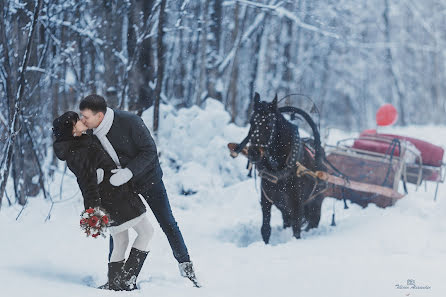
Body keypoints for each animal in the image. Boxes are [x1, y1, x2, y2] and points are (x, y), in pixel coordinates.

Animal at [237, 92, 328, 243]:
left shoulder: (296, 204)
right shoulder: (267, 200)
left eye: (269, 123)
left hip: (316, 201)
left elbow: (296, 229)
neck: (279, 167)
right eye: (251, 122)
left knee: (313, 221)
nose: (253, 153)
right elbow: (265, 229)